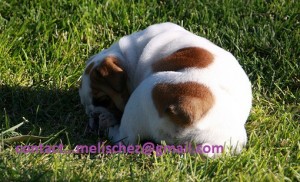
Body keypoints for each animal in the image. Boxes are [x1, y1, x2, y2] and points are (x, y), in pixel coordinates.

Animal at [78, 22, 252, 156]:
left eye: (103, 100)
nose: (94, 117)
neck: (130, 57)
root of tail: (190, 114)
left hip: (147, 91)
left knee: (125, 139)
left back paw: (109, 129)